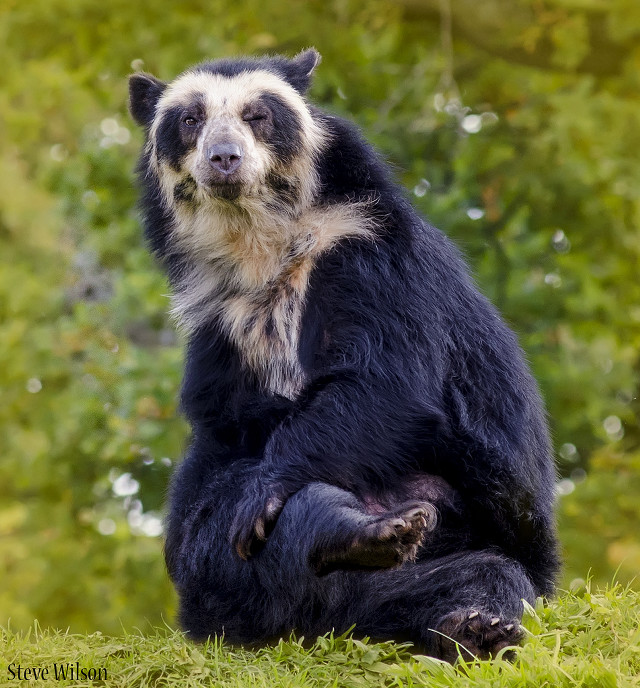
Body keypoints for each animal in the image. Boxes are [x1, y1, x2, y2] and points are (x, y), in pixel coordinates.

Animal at [128, 48, 559, 662]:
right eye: (190, 120)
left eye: (259, 116)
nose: (224, 159)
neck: (258, 244)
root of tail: (325, 626)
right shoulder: (221, 322)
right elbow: (221, 431)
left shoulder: (367, 249)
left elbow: (385, 380)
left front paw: (265, 491)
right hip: (230, 591)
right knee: (213, 542)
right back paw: (357, 535)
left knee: (490, 575)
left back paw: (474, 624)